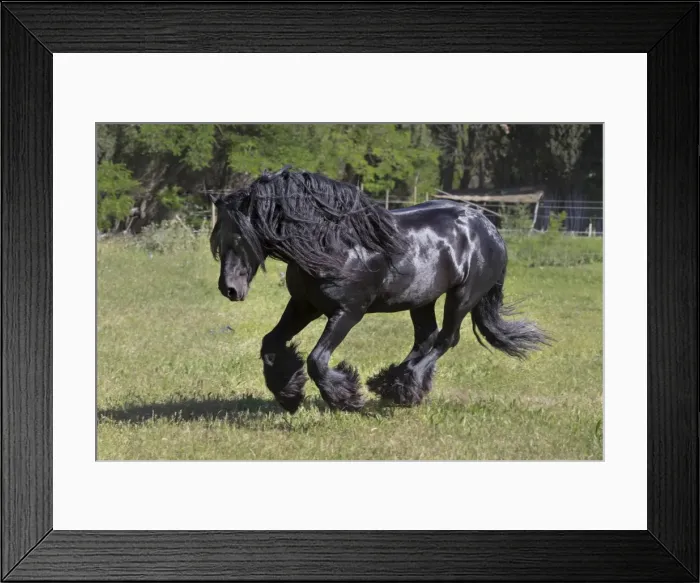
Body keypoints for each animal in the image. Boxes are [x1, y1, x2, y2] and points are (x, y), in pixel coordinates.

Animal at [209, 166, 549, 413]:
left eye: (238, 237)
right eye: (218, 238)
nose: (229, 289)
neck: (332, 244)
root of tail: (489, 227)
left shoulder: (348, 312)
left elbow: (317, 360)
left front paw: (347, 398)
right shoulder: (304, 304)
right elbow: (270, 343)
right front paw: (289, 395)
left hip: (462, 297)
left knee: (445, 339)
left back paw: (403, 389)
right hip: (422, 300)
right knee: (426, 338)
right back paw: (393, 386)